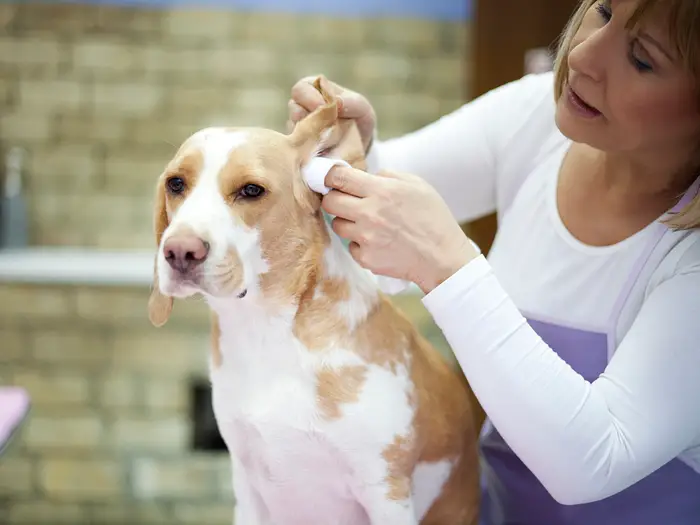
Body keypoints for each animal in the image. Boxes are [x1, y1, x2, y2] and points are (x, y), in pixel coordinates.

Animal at [145, 75, 478, 520]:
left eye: (251, 190)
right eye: (176, 184)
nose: (180, 252)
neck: (268, 333)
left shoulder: (385, 492)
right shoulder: (248, 492)